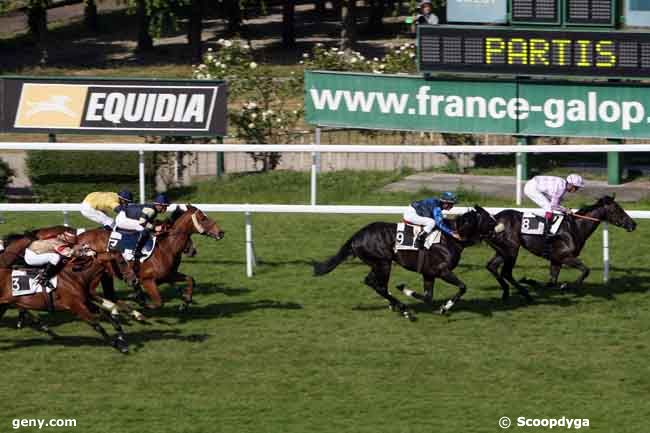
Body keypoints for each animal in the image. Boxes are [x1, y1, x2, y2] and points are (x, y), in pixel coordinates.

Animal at [0, 250, 138, 352]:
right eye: (122, 262)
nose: (134, 280)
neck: (76, 277)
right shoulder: (76, 306)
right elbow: (97, 324)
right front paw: (119, 345)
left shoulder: (85, 301)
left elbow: (108, 316)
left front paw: (121, 337)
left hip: (4, 305)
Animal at [77, 204, 224, 308]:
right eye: (203, 218)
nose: (221, 232)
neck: (166, 248)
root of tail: (79, 237)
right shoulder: (147, 281)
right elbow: (158, 303)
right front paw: (139, 299)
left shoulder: (168, 275)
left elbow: (190, 279)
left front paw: (186, 300)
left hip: (105, 273)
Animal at [312, 206, 494, 318]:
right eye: (489, 219)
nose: (498, 228)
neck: (451, 237)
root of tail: (357, 236)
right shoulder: (442, 270)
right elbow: (462, 287)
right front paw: (444, 307)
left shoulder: (429, 273)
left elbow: (428, 297)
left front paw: (438, 306)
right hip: (383, 263)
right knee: (378, 285)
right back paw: (404, 309)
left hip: (378, 264)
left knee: (373, 283)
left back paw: (397, 305)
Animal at [486, 194, 632, 298]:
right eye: (617, 209)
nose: (633, 224)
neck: (575, 228)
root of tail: (494, 218)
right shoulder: (564, 256)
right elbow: (585, 270)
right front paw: (566, 286)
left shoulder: (555, 260)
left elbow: (552, 281)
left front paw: (530, 281)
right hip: (512, 249)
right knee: (506, 272)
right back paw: (524, 294)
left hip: (502, 250)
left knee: (492, 266)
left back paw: (507, 292)